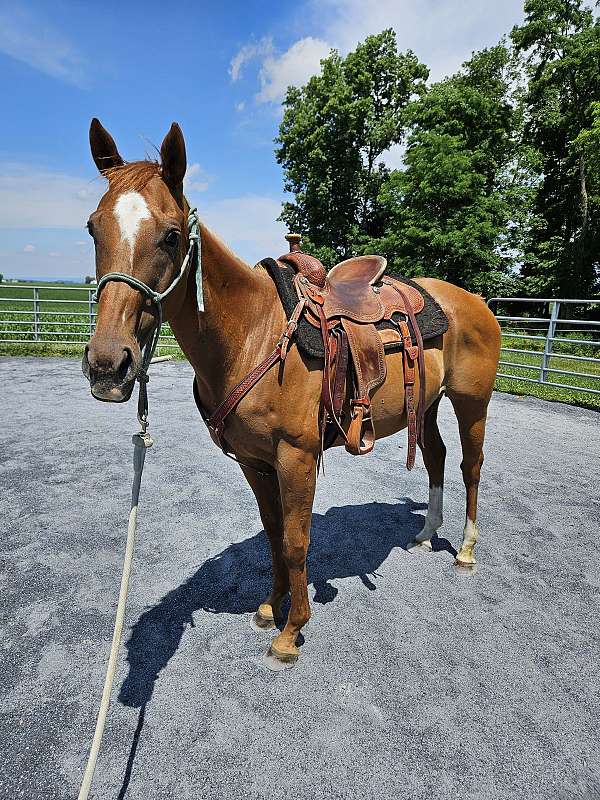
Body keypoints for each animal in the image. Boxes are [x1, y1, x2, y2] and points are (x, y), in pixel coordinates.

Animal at [82, 119, 501, 666]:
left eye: (171, 236)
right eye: (93, 228)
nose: (108, 365)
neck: (252, 334)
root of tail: (475, 300)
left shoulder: (296, 457)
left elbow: (298, 540)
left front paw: (292, 629)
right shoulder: (254, 461)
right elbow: (274, 534)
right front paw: (270, 606)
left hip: (472, 402)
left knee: (470, 465)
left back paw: (467, 549)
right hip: (426, 405)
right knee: (435, 456)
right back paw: (427, 535)